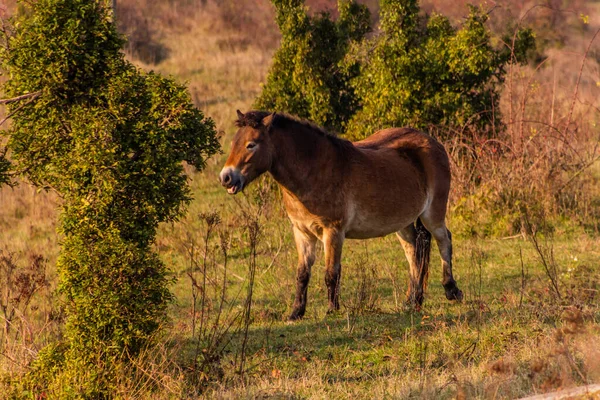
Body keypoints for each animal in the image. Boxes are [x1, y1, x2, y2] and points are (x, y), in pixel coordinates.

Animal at [218, 111, 462, 320]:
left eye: (251, 144)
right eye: (234, 143)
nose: (226, 178)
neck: (315, 170)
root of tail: (433, 143)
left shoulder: (333, 231)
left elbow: (331, 274)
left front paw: (332, 310)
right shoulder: (302, 233)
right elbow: (302, 274)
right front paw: (296, 312)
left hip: (432, 214)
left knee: (444, 239)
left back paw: (451, 290)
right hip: (403, 222)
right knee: (414, 253)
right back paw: (412, 300)